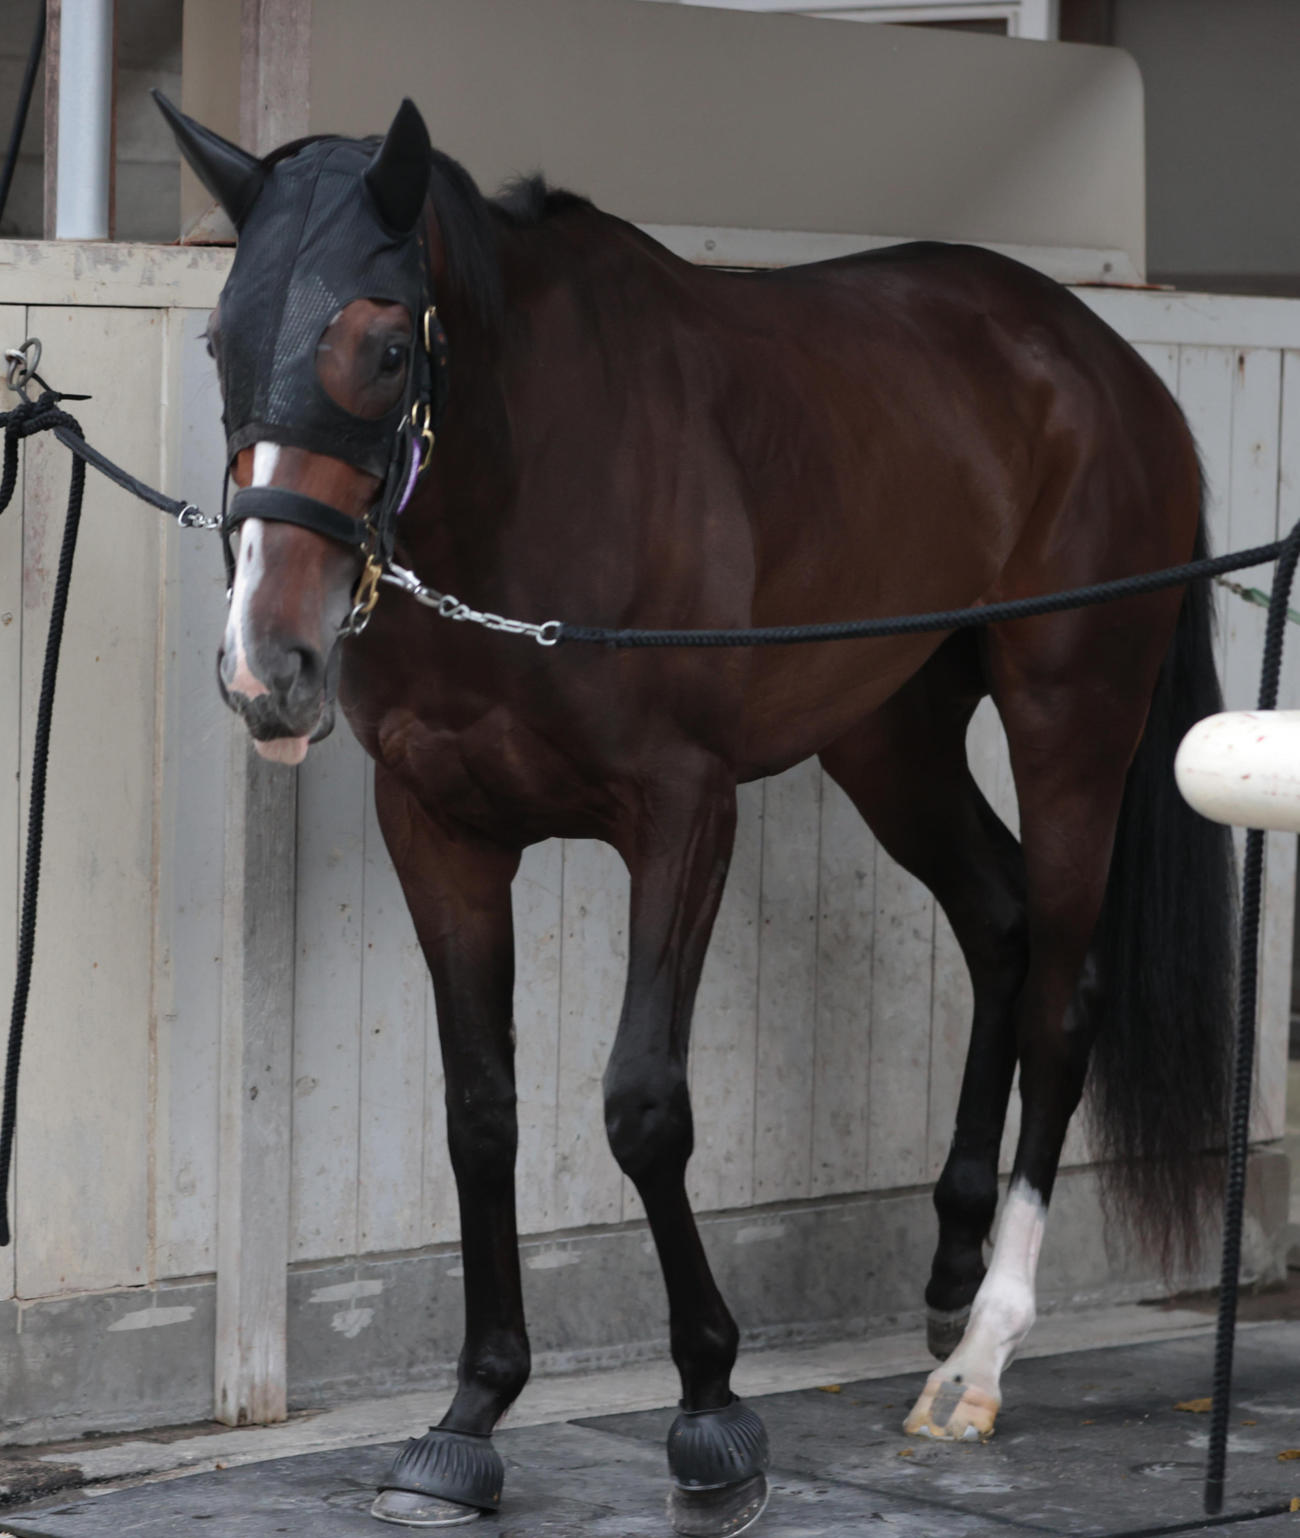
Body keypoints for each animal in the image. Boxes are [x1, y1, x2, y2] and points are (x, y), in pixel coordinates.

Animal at [156, 93, 1235, 1536]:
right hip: (888, 733)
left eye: (383, 347)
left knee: (1064, 989)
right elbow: (480, 1107)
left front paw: (713, 1420)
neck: (540, 486)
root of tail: (1109, 367)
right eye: (222, 336)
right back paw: (950, 1273)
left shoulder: (681, 810)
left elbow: (643, 1105)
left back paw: (982, 1353)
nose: (266, 666)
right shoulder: (437, 826)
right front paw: (469, 1415)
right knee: (999, 919)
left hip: (1073, 718)